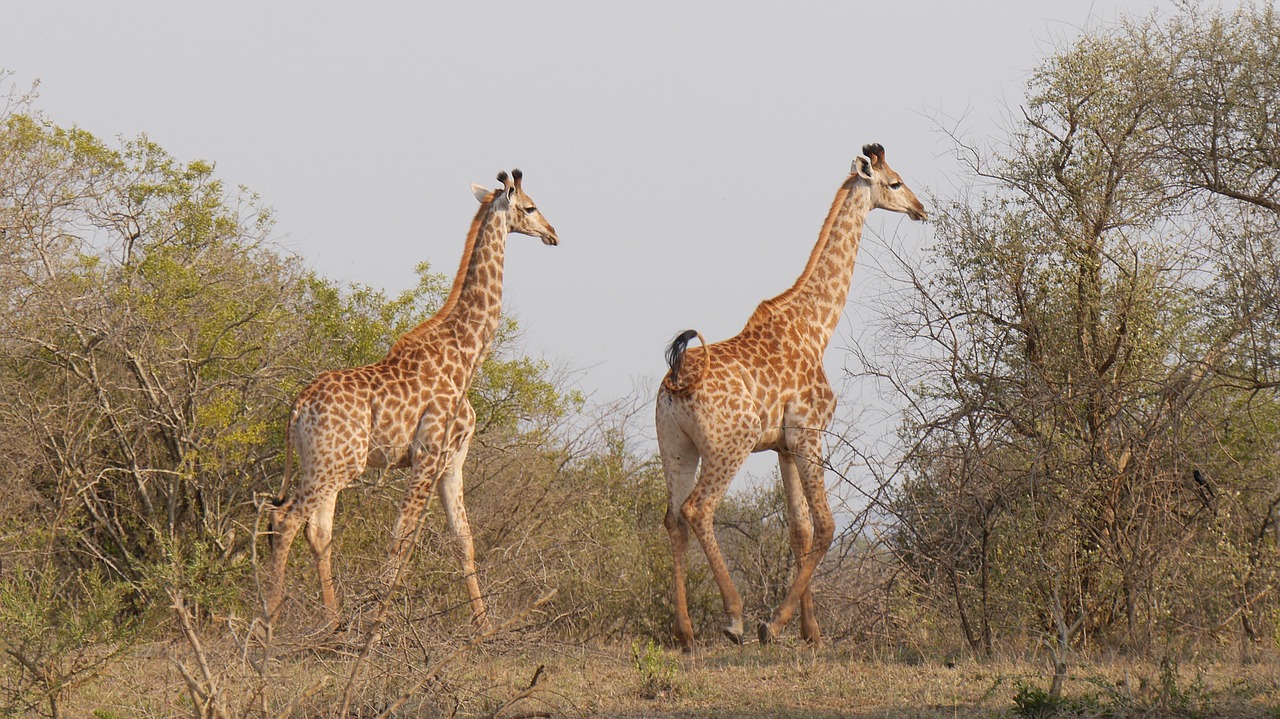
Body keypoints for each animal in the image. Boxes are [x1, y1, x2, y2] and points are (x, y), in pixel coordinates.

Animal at [263, 168, 555, 626]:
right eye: (530, 207)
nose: (553, 233)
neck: (468, 355)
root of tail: (297, 407)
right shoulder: (427, 456)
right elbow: (400, 540)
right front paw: (377, 626)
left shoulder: (453, 462)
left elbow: (463, 540)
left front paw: (485, 629)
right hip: (337, 464)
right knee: (286, 519)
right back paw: (272, 618)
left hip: (322, 464)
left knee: (317, 530)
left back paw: (333, 623)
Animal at [660, 142, 921, 647]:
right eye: (895, 182)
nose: (921, 209)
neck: (816, 327)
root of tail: (677, 379)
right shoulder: (809, 431)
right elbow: (825, 526)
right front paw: (776, 623)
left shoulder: (782, 445)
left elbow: (799, 529)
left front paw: (810, 631)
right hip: (729, 444)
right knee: (698, 508)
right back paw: (735, 618)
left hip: (676, 446)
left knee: (673, 519)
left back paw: (684, 633)